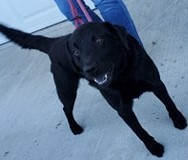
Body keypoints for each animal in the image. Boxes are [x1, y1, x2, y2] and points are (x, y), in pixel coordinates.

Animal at [0, 21, 187, 157]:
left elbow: (169, 104)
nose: (88, 69)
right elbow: (139, 131)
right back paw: (74, 127)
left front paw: (178, 119)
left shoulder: (156, 83)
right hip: (67, 89)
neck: (123, 74)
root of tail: (55, 41)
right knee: (66, 108)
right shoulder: (123, 110)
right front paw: (153, 146)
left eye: (99, 40)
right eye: (76, 51)